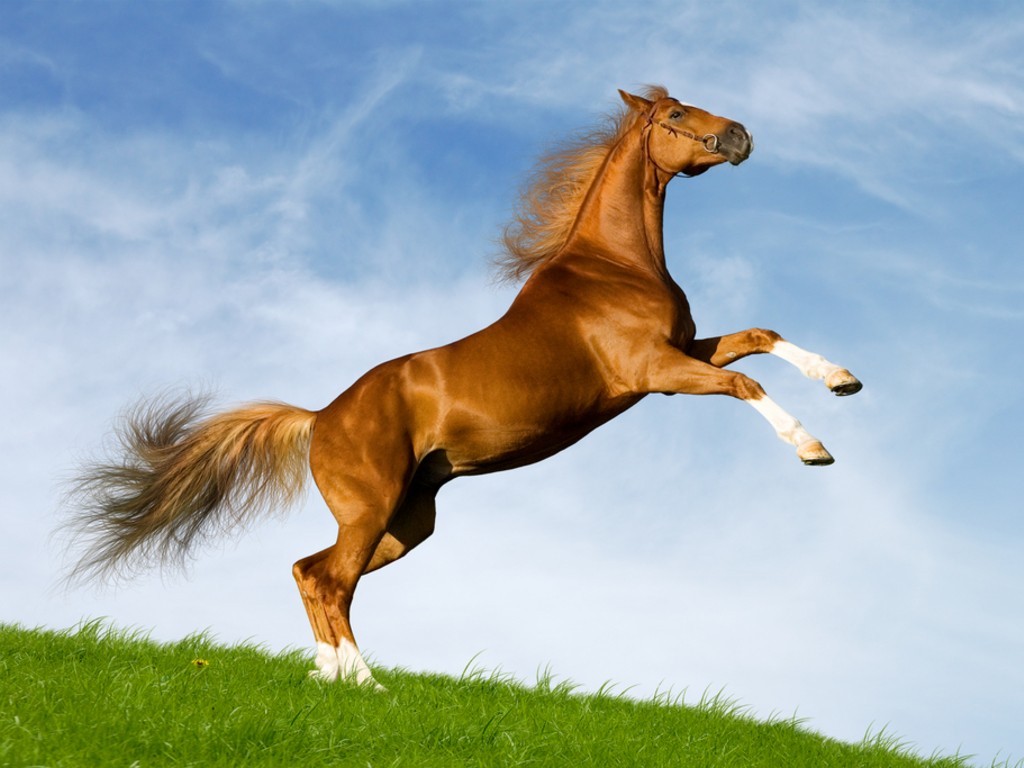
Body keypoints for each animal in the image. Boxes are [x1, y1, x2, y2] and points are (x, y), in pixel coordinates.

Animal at [66, 86, 861, 687]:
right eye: (673, 115)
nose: (740, 135)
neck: (614, 266)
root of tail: (320, 416)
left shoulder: (683, 351)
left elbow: (759, 336)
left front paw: (843, 380)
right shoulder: (654, 372)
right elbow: (745, 384)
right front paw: (814, 448)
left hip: (406, 523)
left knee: (309, 571)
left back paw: (330, 678)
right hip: (371, 509)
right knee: (328, 579)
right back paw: (367, 684)